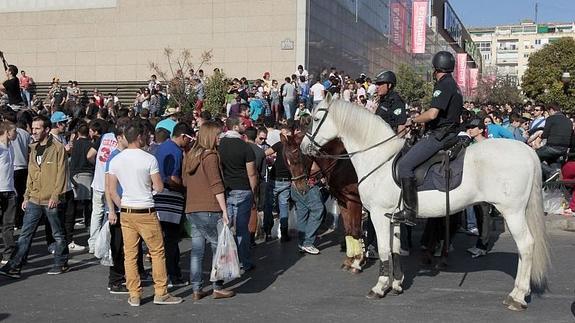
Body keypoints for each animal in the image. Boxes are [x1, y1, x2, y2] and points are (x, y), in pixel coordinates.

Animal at [282, 132, 366, 274]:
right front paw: (350, 260)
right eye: (286, 162)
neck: (341, 163)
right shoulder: (343, 201)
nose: (299, 188)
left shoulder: (354, 201)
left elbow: (355, 230)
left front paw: (357, 262)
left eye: (297, 159)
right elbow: (349, 229)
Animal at [300, 95, 552, 312]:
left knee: (526, 246)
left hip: (513, 212)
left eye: (315, 119)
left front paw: (379, 287)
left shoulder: (378, 215)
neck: (379, 159)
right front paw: (396, 284)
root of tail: (527, 151)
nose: (304, 146)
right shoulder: (393, 217)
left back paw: (517, 296)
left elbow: (383, 250)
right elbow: (394, 249)